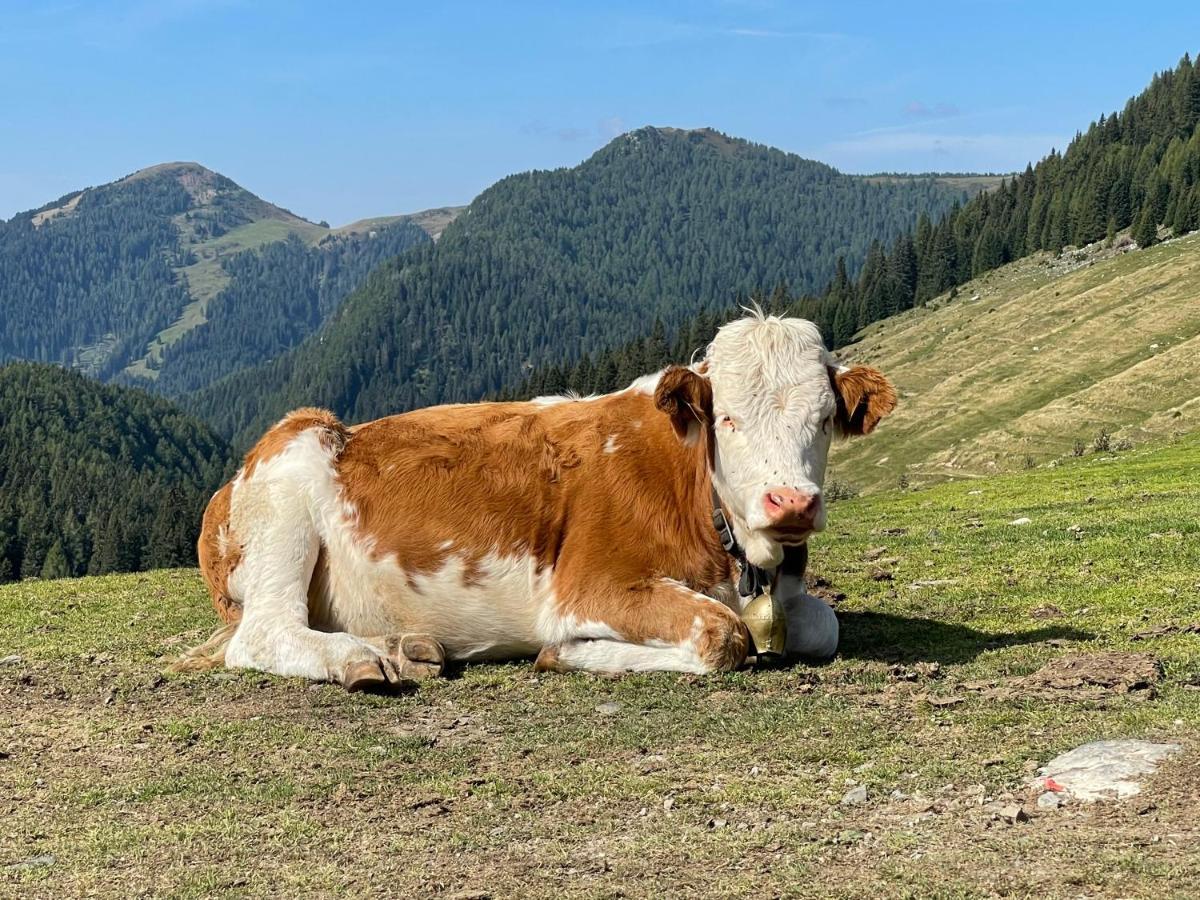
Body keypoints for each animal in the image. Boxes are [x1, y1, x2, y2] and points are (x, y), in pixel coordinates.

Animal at [175, 312, 892, 691]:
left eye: (824, 419)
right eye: (728, 420)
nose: (790, 502)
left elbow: (822, 626)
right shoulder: (589, 584)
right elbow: (723, 636)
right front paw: (570, 653)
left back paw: (408, 648)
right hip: (286, 500)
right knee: (263, 633)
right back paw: (358, 657)